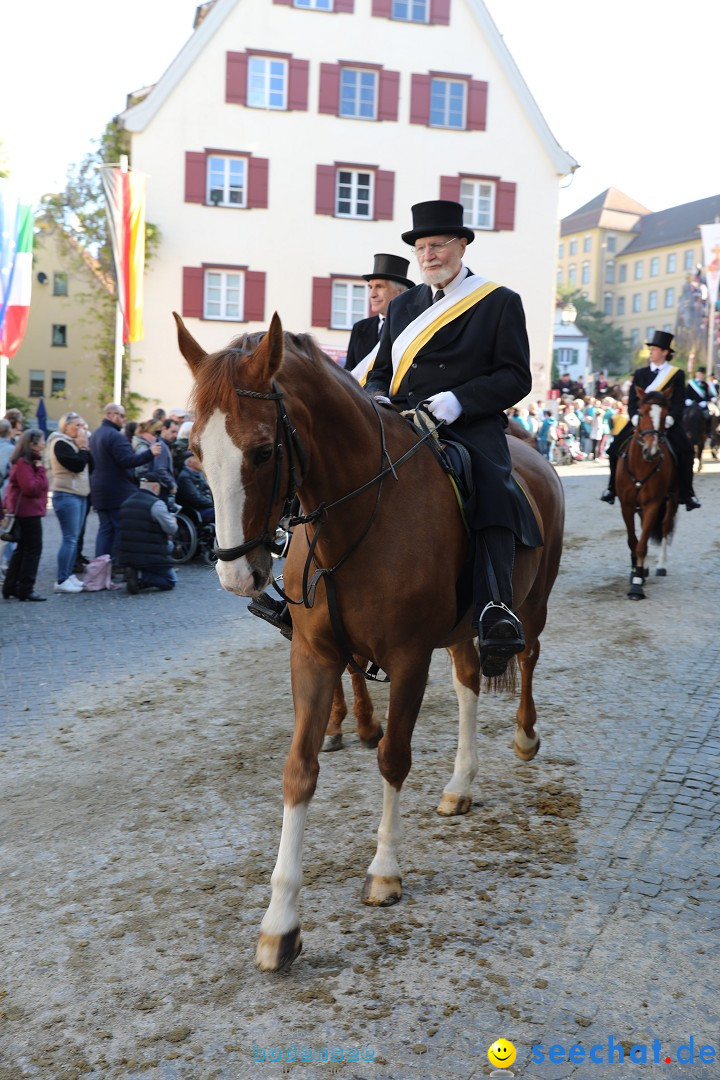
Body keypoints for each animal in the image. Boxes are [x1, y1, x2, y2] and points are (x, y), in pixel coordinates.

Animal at [177, 313, 565, 972]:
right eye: (196, 452)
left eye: (262, 450)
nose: (236, 575)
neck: (356, 515)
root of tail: (530, 451)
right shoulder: (313, 657)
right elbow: (299, 770)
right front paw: (280, 922)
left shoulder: (408, 659)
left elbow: (392, 758)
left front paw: (384, 871)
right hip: (457, 633)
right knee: (467, 684)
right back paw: (460, 786)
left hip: (531, 606)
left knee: (528, 657)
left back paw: (524, 735)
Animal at [617, 384, 677, 600]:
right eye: (641, 413)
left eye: (665, 414)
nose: (651, 452)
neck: (641, 466)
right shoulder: (626, 505)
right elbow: (632, 541)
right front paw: (637, 572)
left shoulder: (653, 504)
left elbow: (642, 544)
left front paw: (636, 584)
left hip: (672, 499)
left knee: (666, 527)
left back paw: (660, 565)